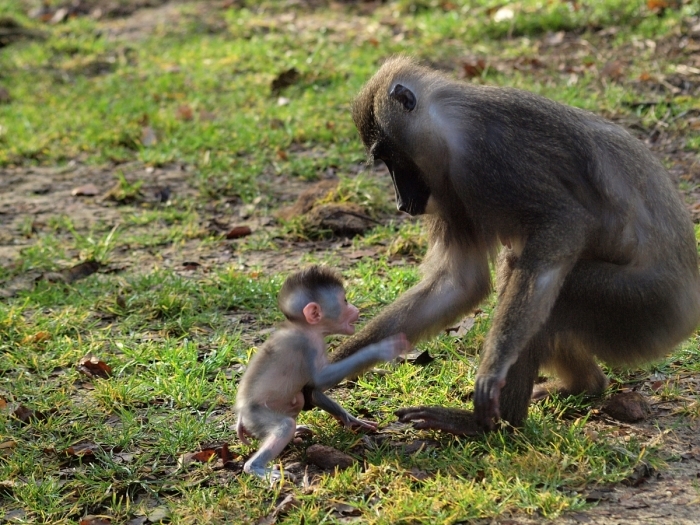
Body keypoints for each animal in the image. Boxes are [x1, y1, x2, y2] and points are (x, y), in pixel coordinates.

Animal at [237, 266, 410, 478]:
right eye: (345, 300)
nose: (355, 309)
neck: (304, 327)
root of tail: (241, 417)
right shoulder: (307, 346)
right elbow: (319, 380)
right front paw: (378, 350)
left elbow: (313, 391)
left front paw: (351, 419)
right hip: (256, 415)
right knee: (284, 424)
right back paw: (256, 467)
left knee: (297, 401)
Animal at [332, 56, 700, 434]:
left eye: (391, 158)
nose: (401, 203)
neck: (450, 123)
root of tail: (688, 308)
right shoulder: (448, 190)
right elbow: (459, 283)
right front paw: (333, 367)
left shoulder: (487, 155)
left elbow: (564, 223)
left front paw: (494, 369)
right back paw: (585, 385)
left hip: (644, 308)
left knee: (556, 291)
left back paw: (489, 423)